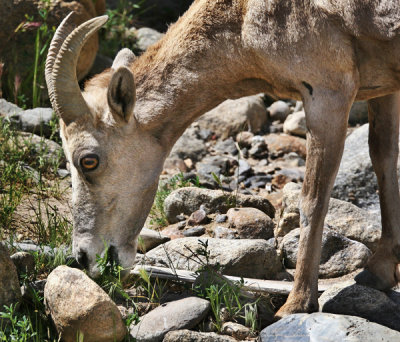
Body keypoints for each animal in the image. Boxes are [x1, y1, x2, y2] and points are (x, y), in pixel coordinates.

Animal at [45, 0, 400, 318]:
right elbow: (383, 159)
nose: (84, 257)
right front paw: (379, 274)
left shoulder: (327, 93)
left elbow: (313, 199)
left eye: (88, 160)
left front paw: (295, 305)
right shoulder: (384, 90)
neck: (244, 15)